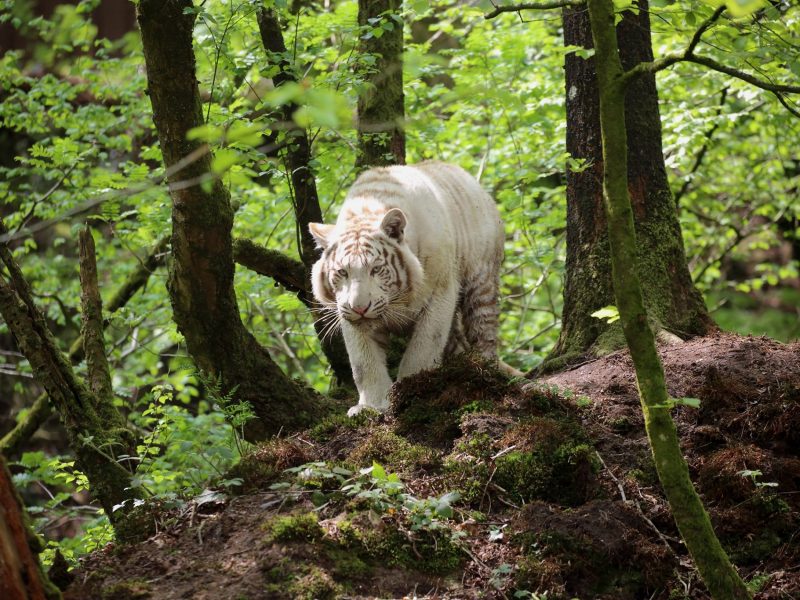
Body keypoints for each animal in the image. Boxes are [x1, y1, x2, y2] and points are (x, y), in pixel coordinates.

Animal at [309, 161, 505, 417]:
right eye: (342, 272)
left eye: (375, 269)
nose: (360, 307)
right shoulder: (348, 315)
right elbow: (363, 363)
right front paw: (371, 406)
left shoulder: (440, 294)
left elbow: (421, 350)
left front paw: (410, 391)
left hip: (481, 283)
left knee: (485, 332)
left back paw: (484, 370)